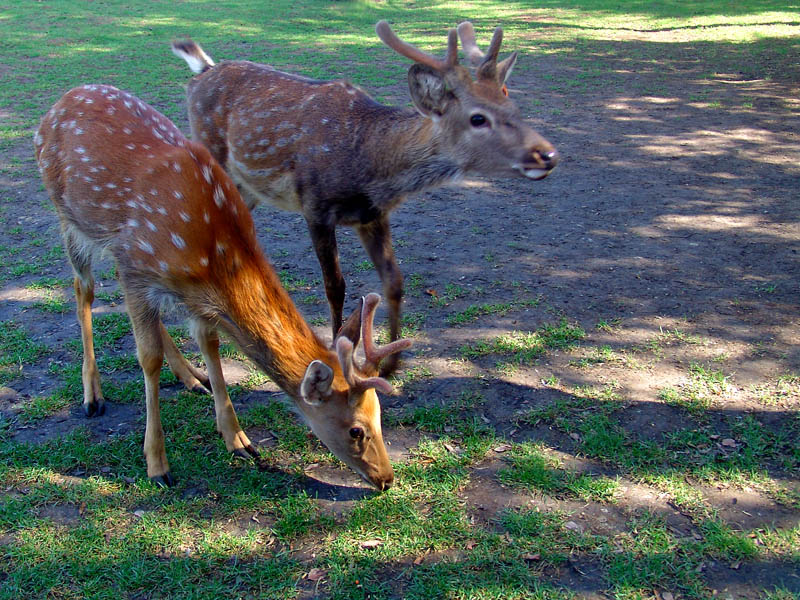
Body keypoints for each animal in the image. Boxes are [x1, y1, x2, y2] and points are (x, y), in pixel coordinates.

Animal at [34, 83, 410, 488]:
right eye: (356, 430)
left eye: (380, 415)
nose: (386, 478)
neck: (214, 251)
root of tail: (59, 103)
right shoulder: (139, 269)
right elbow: (148, 359)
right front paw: (157, 464)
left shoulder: (190, 292)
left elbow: (210, 344)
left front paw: (238, 439)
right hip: (70, 220)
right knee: (82, 290)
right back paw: (93, 395)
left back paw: (190, 377)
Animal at [169, 19, 556, 376]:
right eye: (478, 118)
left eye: (512, 103)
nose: (547, 154)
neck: (368, 162)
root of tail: (200, 72)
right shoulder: (316, 206)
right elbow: (335, 286)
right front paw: (341, 353)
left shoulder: (373, 214)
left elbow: (394, 280)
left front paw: (390, 364)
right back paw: (191, 371)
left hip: (246, 189)